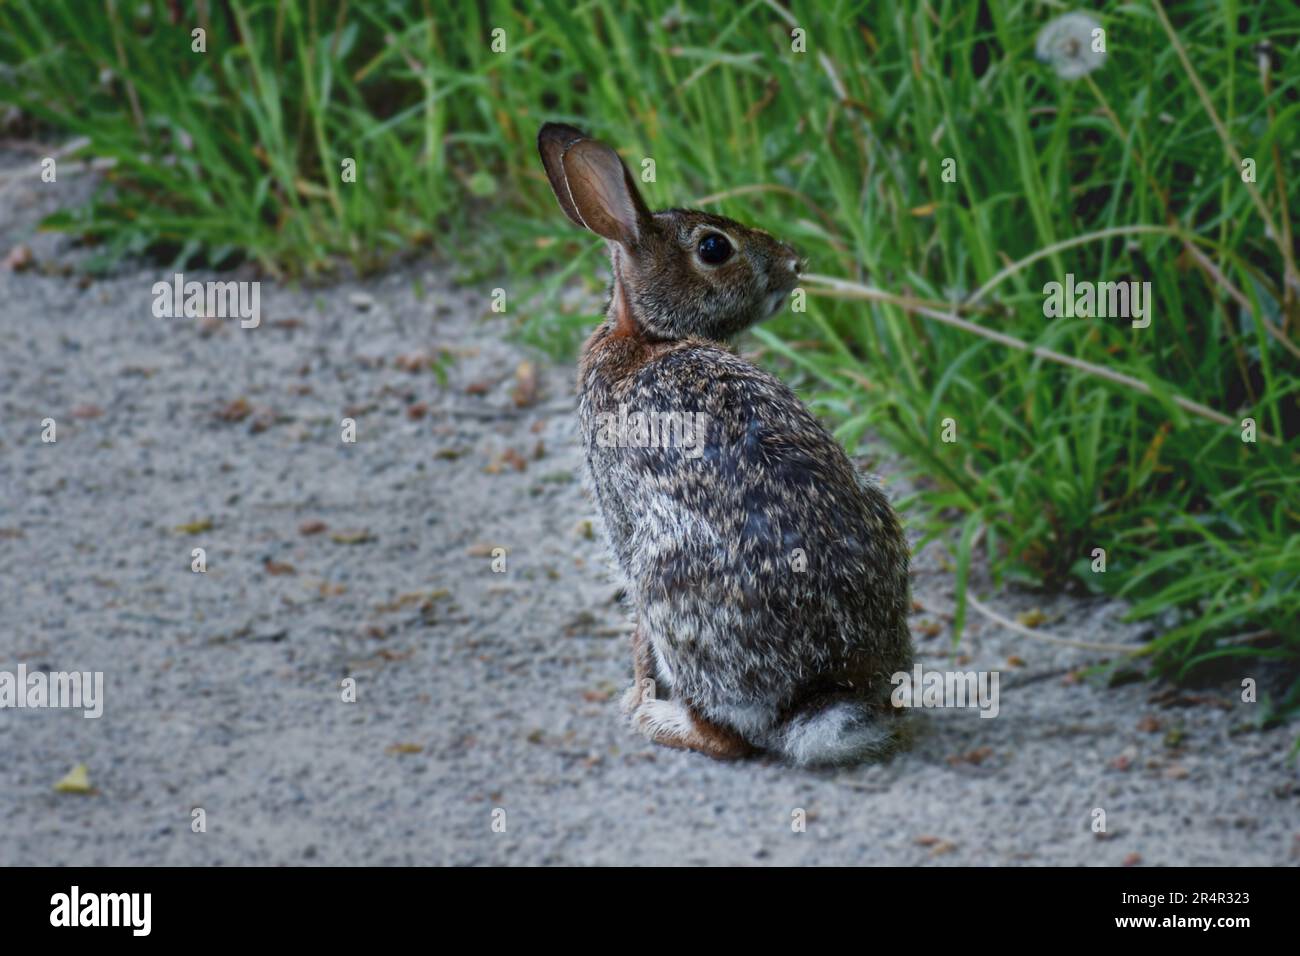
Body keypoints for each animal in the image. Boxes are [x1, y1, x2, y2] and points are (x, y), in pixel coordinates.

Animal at [538, 122, 913, 766]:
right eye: (714, 248)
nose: (794, 262)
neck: (648, 336)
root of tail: (826, 689)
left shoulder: (621, 523)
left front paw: (636, 692)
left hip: (667, 582)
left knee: (727, 738)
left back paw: (655, 718)